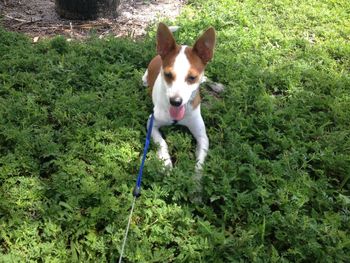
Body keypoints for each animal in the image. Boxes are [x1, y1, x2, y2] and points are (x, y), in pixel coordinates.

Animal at [143, 22, 216, 178]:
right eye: (167, 74)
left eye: (192, 78)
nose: (175, 101)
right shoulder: (152, 122)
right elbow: (162, 142)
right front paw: (165, 163)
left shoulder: (202, 137)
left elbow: (200, 162)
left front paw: (195, 180)